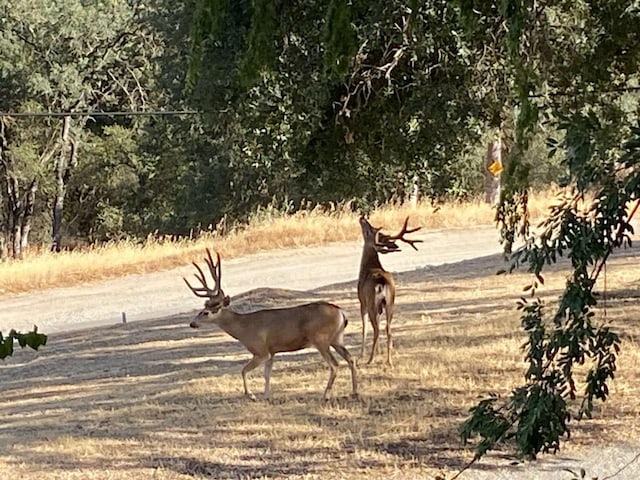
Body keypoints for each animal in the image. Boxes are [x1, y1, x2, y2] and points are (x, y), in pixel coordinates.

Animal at [185, 249, 358, 404]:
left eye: (205, 312)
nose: (192, 323)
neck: (243, 327)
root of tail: (341, 313)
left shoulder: (260, 350)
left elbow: (243, 370)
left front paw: (252, 396)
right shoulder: (272, 351)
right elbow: (267, 373)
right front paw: (266, 396)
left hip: (320, 339)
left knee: (334, 364)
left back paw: (326, 395)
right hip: (337, 339)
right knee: (351, 359)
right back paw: (354, 392)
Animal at [358, 214, 422, 364]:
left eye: (369, 230)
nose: (362, 217)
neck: (368, 266)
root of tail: (381, 283)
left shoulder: (362, 301)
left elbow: (364, 328)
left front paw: (362, 354)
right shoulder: (381, 306)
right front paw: (379, 351)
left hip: (371, 302)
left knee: (376, 329)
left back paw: (370, 360)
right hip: (390, 302)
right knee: (388, 328)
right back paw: (389, 360)